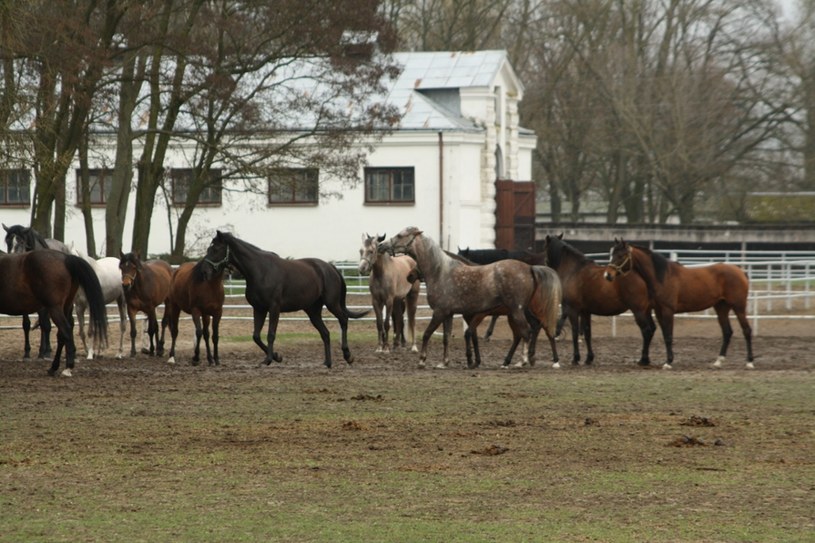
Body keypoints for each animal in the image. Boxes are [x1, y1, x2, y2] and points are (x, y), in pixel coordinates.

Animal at [202, 231, 368, 370]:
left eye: (216, 249)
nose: (205, 271)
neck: (260, 270)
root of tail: (330, 267)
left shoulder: (274, 308)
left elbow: (270, 334)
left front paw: (269, 359)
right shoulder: (259, 308)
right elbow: (256, 336)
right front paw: (277, 357)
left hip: (332, 303)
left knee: (343, 320)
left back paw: (348, 356)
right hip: (313, 311)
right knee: (325, 333)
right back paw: (327, 363)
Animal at [378, 225, 540, 370]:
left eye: (400, 235)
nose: (381, 246)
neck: (440, 272)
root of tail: (529, 269)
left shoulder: (439, 313)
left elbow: (427, 334)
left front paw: (422, 361)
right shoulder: (448, 314)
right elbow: (446, 338)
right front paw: (444, 362)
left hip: (517, 311)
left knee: (527, 331)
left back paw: (522, 361)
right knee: (525, 332)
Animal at [540, 235, 664, 368]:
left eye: (544, 248)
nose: (545, 265)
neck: (573, 270)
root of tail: (642, 274)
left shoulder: (573, 309)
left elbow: (574, 332)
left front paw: (576, 358)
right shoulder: (585, 311)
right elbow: (587, 333)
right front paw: (589, 358)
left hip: (638, 310)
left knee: (646, 330)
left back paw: (643, 359)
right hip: (646, 310)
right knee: (652, 329)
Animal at [604, 241, 756, 372]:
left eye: (621, 255)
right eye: (612, 253)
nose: (608, 275)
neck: (662, 277)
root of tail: (740, 271)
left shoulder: (667, 311)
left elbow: (669, 336)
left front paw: (668, 362)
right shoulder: (659, 311)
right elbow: (665, 335)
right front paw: (667, 360)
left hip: (739, 307)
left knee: (747, 330)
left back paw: (749, 362)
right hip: (721, 308)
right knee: (727, 332)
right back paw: (718, 362)